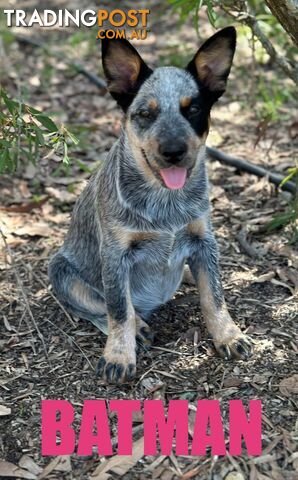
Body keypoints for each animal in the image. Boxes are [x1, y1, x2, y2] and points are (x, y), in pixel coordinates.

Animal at [48, 28, 251, 384]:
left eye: (193, 110)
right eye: (146, 113)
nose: (173, 151)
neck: (165, 202)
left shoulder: (204, 240)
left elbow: (214, 296)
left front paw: (228, 335)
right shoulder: (115, 254)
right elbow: (118, 310)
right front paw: (119, 355)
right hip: (59, 270)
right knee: (98, 308)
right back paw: (138, 328)